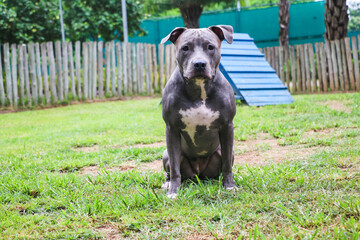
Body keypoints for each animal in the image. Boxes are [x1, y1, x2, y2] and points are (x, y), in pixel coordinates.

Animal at [161, 24, 236, 198]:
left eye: (210, 47)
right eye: (185, 48)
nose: (199, 64)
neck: (199, 88)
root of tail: (199, 174)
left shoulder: (227, 126)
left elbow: (227, 164)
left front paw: (229, 185)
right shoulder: (171, 129)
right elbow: (174, 168)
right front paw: (173, 191)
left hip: (226, 153)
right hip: (165, 154)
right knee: (170, 169)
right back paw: (167, 183)